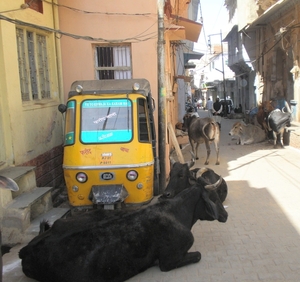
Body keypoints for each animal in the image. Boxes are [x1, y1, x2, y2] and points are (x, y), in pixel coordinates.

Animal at [19, 182, 227, 280]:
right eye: (215, 198)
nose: (225, 215)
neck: (179, 212)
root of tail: (26, 250)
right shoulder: (170, 260)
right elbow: (198, 255)